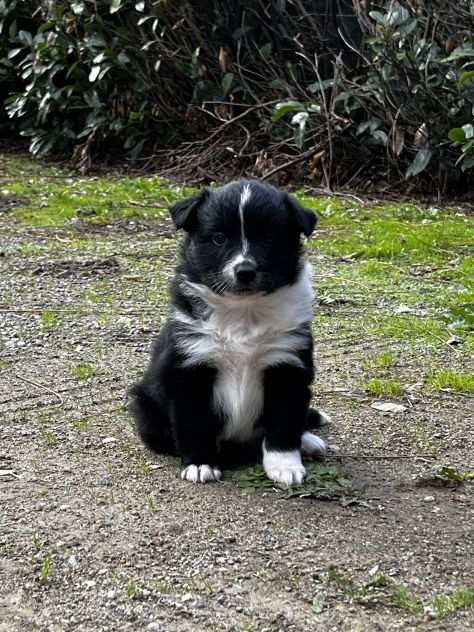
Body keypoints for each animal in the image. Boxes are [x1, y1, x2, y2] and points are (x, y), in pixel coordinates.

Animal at [130, 180, 330, 486]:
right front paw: (200, 463)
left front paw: (285, 465)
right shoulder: (191, 368)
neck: (244, 312)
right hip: (145, 404)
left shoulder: (287, 365)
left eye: (268, 237)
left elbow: (284, 422)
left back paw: (307, 441)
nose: (244, 270)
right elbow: (194, 421)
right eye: (219, 238)